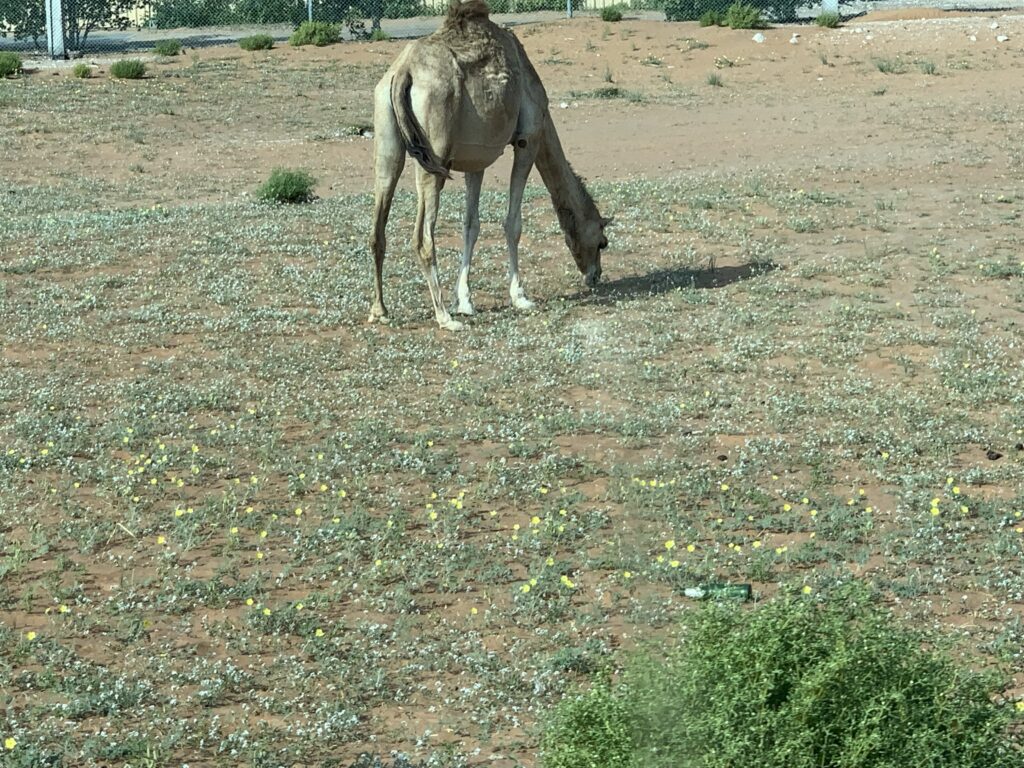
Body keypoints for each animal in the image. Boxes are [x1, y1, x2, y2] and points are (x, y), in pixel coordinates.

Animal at [368, 0, 610, 331]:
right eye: (601, 242)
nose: (595, 276)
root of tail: (403, 72)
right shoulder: (528, 139)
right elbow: (513, 223)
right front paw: (520, 297)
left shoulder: (476, 161)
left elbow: (471, 224)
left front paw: (465, 302)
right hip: (435, 150)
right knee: (422, 236)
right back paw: (444, 317)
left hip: (387, 141)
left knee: (378, 226)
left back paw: (379, 310)